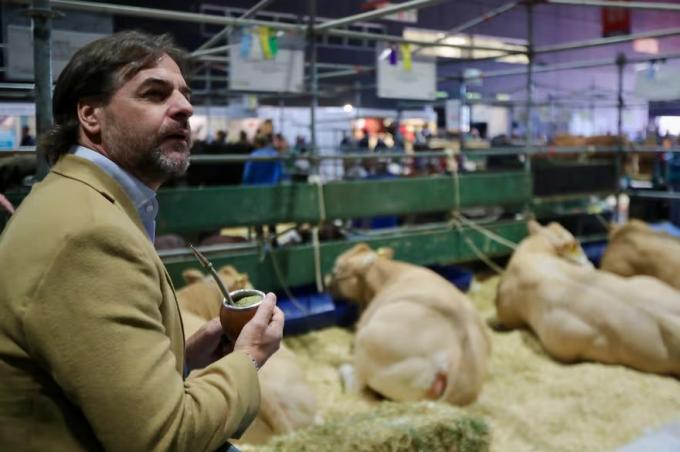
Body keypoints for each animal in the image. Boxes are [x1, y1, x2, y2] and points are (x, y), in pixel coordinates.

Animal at [326, 244, 492, 406]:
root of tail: (454, 360)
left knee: (355, 385)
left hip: (368, 345)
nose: (327, 286)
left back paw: (344, 369)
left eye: (336, 269)